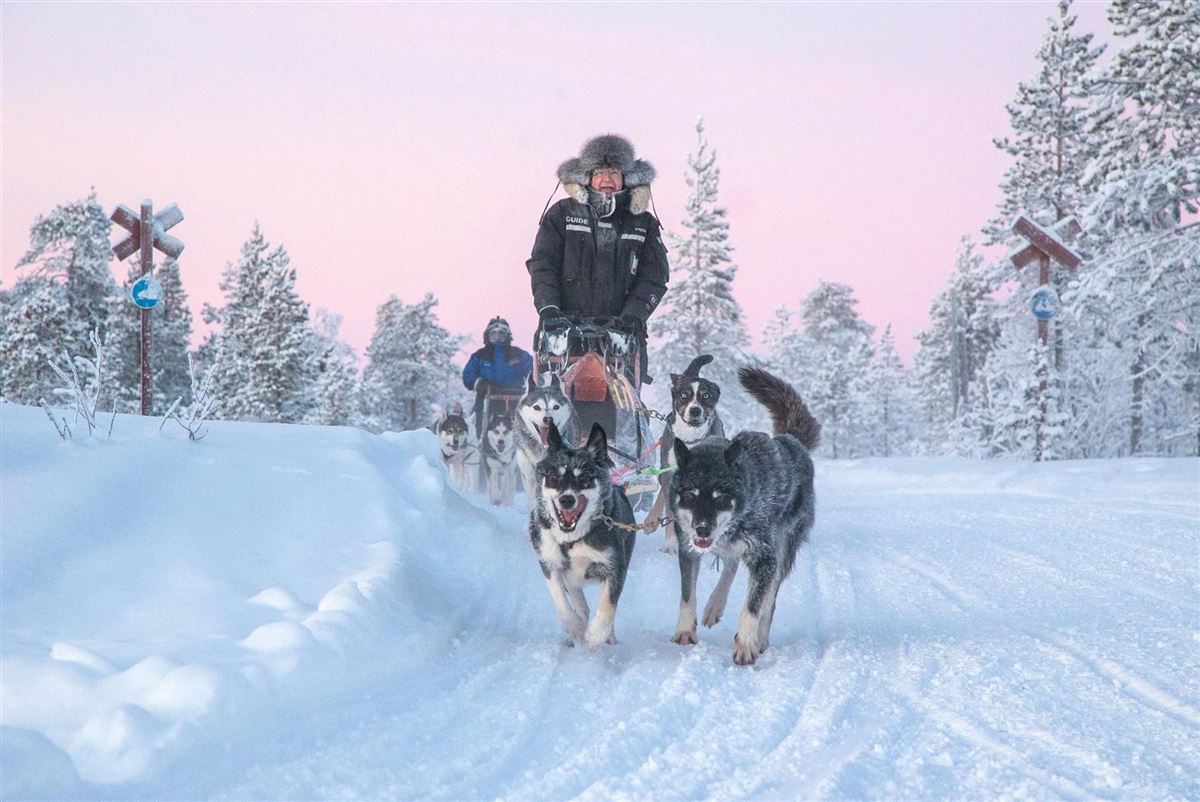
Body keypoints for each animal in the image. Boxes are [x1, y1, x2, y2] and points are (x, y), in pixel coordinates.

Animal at [529, 421, 637, 649]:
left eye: (584, 479)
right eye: (554, 477)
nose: (566, 500)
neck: (572, 539)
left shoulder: (614, 567)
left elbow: (608, 606)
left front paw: (596, 634)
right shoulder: (549, 562)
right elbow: (561, 602)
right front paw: (575, 626)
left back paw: (608, 637)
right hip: (571, 577)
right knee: (580, 603)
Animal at [646, 355, 726, 554]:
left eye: (706, 396)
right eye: (684, 395)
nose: (695, 409)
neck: (690, 438)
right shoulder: (668, 471)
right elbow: (670, 507)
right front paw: (671, 543)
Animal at [668, 366, 820, 666]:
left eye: (721, 497)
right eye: (690, 494)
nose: (702, 529)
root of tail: (791, 441)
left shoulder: (764, 558)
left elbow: (753, 606)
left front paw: (747, 644)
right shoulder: (687, 548)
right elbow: (686, 594)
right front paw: (685, 630)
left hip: (781, 551)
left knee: (768, 598)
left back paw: (759, 637)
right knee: (730, 564)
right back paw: (715, 605)